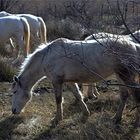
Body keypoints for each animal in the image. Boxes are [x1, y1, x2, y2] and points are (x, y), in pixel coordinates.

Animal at [11, 37, 140, 127]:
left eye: (15, 91)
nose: (13, 111)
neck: (47, 57)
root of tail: (133, 45)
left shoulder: (57, 81)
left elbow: (58, 100)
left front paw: (57, 119)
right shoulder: (69, 81)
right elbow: (78, 96)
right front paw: (86, 113)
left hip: (126, 76)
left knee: (135, 95)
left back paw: (136, 122)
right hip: (120, 76)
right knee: (124, 96)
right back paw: (116, 118)